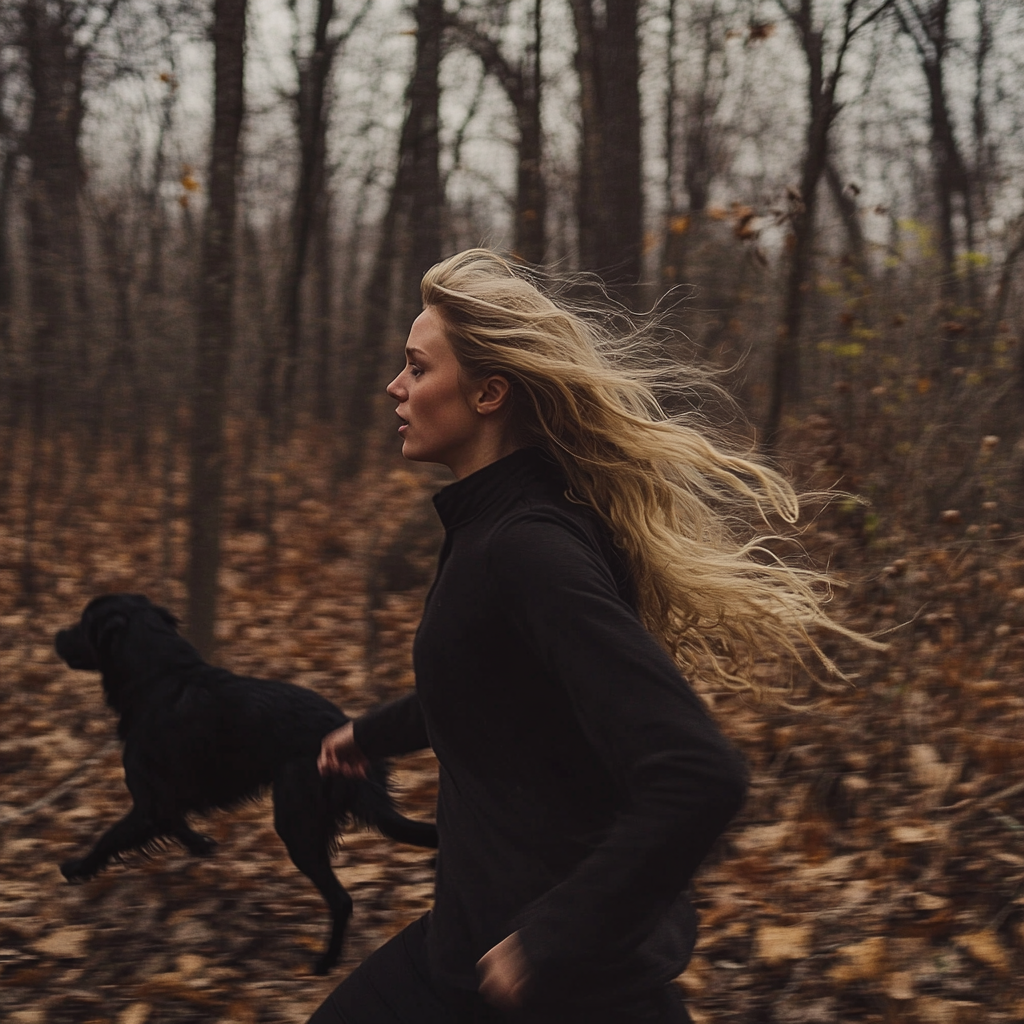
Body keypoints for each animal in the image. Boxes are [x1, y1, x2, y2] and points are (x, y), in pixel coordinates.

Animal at [55, 589, 436, 970]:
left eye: (83, 623)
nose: (56, 635)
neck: (159, 677)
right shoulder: (165, 801)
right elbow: (176, 823)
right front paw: (203, 845)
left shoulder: (148, 803)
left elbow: (110, 838)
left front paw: (76, 867)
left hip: (296, 825)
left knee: (341, 899)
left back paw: (325, 963)